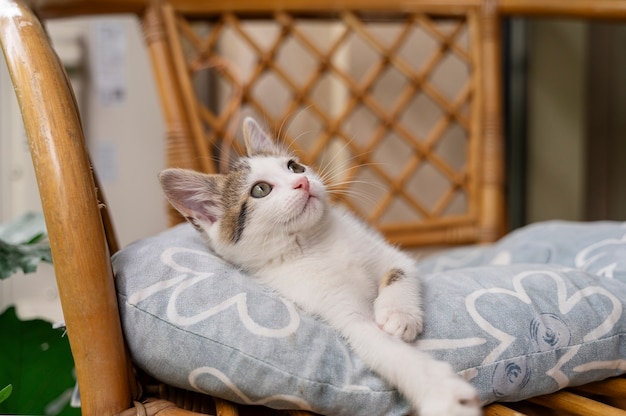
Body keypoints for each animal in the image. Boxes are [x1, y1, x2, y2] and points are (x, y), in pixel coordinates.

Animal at [160, 117, 478, 416]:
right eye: (260, 189)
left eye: (294, 167)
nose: (303, 182)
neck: (315, 243)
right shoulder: (339, 310)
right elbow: (382, 347)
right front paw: (444, 393)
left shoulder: (389, 255)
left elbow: (399, 272)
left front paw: (399, 314)